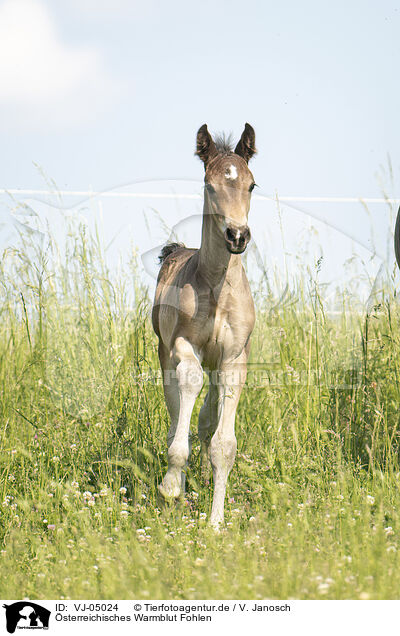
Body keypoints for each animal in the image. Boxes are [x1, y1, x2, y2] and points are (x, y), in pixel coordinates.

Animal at [152, 123, 258, 528]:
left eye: (252, 185)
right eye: (210, 186)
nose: (238, 236)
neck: (216, 287)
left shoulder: (234, 358)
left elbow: (223, 444)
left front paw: (215, 523)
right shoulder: (183, 344)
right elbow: (189, 382)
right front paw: (171, 484)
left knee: (207, 417)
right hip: (164, 352)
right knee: (174, 408)